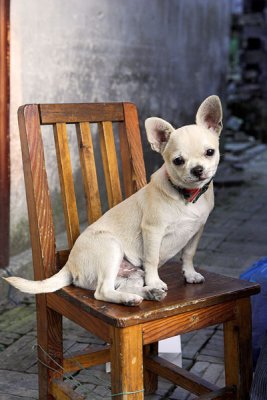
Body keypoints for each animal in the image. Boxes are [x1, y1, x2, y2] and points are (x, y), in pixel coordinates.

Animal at [4, 94, 224, 306]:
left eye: (210, 152)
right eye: (178, 161)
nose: (197, 170)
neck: (187, 195)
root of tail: (68, 265)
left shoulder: (196, 229)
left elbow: (188, 253)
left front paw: (190, 274)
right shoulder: (153, 231)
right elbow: (152, 259)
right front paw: (156, 281)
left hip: (132, 273)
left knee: (122, 287)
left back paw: (146, 294)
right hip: (111, 248)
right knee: (102, 292)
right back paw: (137, 295)